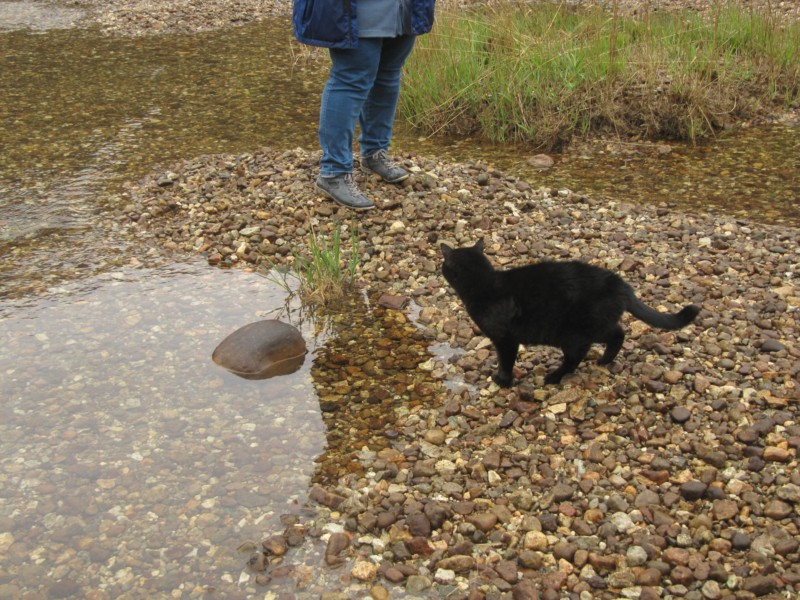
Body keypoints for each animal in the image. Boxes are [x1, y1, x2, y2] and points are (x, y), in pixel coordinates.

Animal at [438, 240, 700, 390]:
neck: (485, 284)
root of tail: (620, 284)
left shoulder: (505, 339)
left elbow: (506, 361)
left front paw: (502, 381)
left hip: (575, 332)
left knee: (588, 351)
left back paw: (556, 376)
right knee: (616, 334)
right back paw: (603, 361)